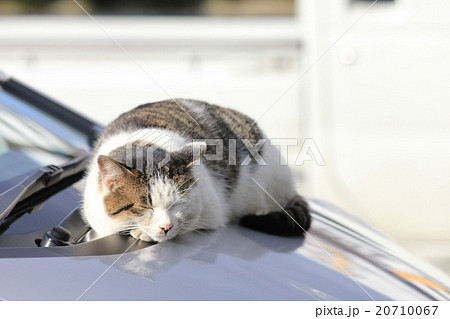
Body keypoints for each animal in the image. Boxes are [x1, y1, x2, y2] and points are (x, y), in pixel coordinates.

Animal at [81, 99, 310, 244]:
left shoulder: (212, 212)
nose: (166, 227)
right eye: (146, 206)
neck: (145, 143)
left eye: (177, 204)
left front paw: (144, 233)